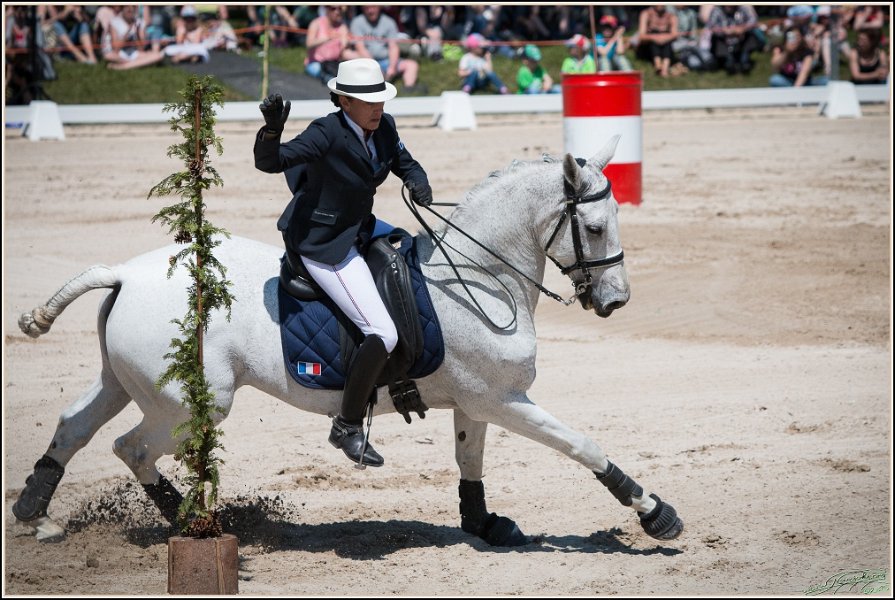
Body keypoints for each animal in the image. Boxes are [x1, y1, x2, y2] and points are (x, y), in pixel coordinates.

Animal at [13, 138, 683, 545]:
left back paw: (36, 516)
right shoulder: (501, 400)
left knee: (75, 427)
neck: (479, 280)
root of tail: (125, 272)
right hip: (186, 402)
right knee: (132, 448)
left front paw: (484, 524)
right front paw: (654, 512)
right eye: (592, 228)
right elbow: (581, 444)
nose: (616, 300)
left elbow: (469, 461)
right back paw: (186, 518)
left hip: (126, 383)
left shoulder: (476, 402)